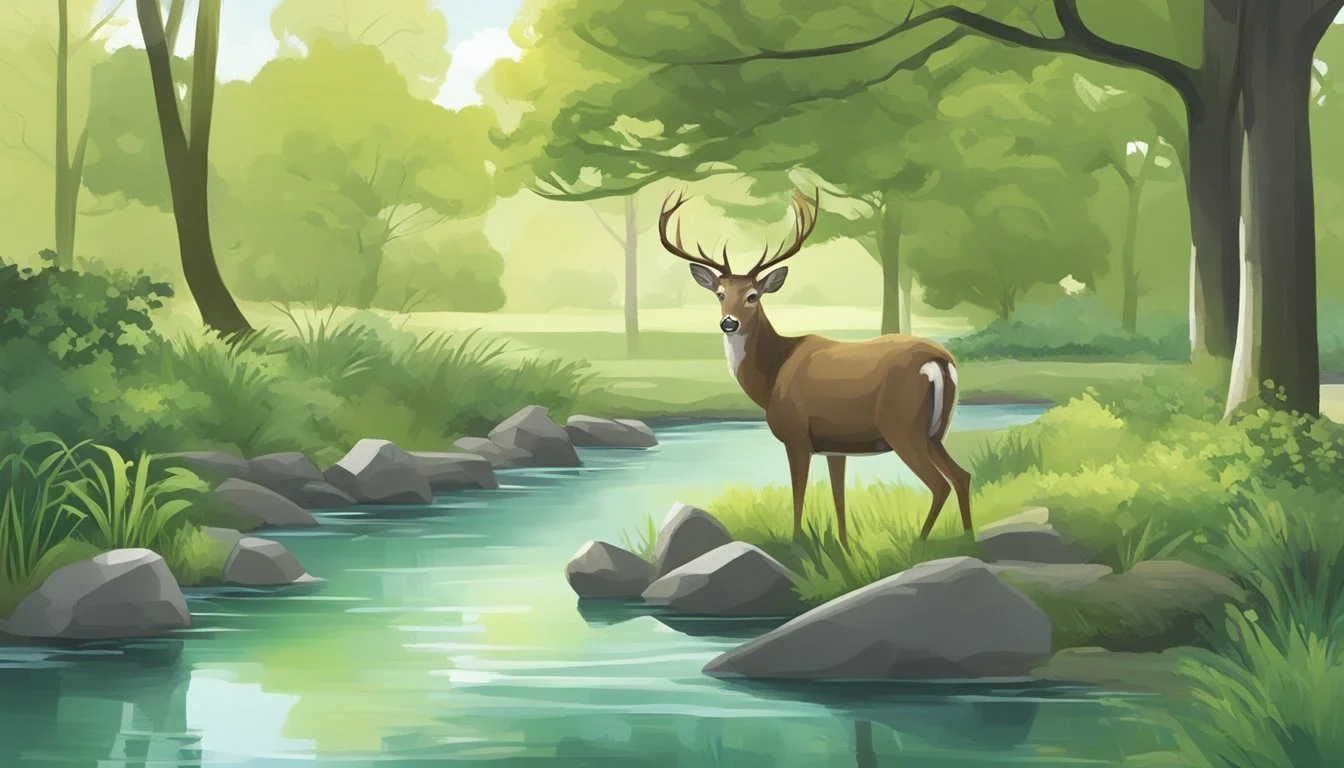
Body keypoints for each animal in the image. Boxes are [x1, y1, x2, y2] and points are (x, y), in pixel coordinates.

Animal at [658, 187, 972, 548]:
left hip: (902, 426)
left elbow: (798, 496)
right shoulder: (836, 445)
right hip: (934, 431)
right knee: (962, 476)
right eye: (720, 294)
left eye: (753, 295)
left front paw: (797, 543)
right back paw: (969, 537)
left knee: (940, 484)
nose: (728, 322)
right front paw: (845, 547)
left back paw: (919, 542)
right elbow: (838, 500)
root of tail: (941, 361)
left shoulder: (796, 435)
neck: (771, 376)